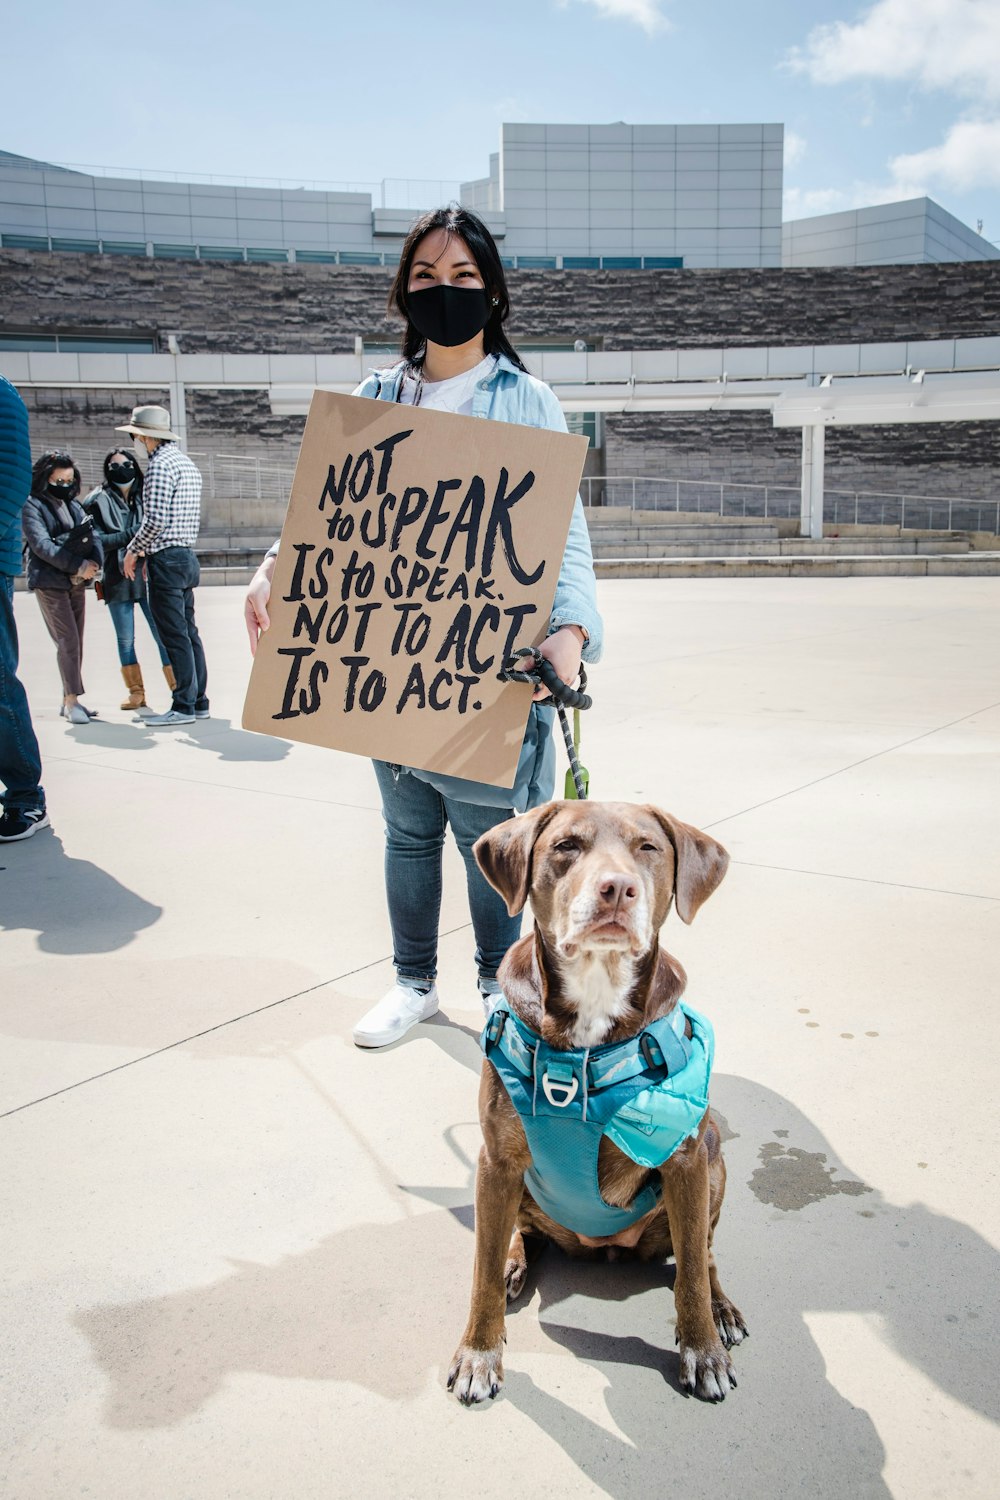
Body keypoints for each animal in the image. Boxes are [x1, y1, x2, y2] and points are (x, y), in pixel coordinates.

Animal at [449, 804, 746, 1398]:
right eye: (566, 845)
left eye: (648, 848)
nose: (616, 889)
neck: (595, 992)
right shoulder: (496, 1161)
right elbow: (481, 1270)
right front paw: (478, 1353)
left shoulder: (686, 1161)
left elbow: (692, 1275)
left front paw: (702, 1350)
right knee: (518, 1233)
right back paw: (515, 1260)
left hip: (714, 1159)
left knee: (702, 1254)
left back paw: (721, 1309)